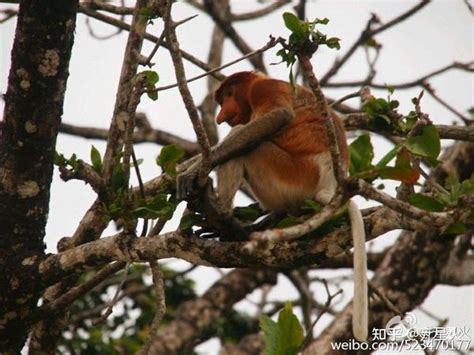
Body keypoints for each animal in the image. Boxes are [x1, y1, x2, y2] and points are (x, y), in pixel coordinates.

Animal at [213, 70, 368, 342]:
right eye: (222, 101)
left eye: (229, 95)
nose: (221, 116)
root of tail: (331, 189)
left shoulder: (265, 89)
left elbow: (279, 116)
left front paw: (197, 166)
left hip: (290, 174)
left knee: (249, 140)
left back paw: (223, 219)